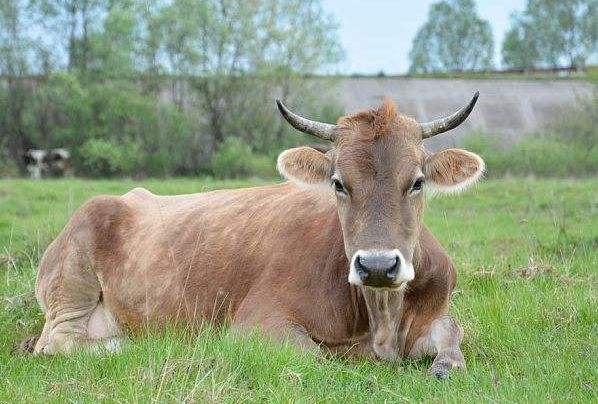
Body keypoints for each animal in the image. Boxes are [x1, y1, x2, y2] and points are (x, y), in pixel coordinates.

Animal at [29, 94, 488, 378]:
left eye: (417, 182)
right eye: (338, 183)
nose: (377, 265)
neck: (381, 318)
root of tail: (122, 197)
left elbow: (453, 336)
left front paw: (444, 366)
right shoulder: (257, 322)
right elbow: (317, 356)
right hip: (71, 284)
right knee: (56, 341)